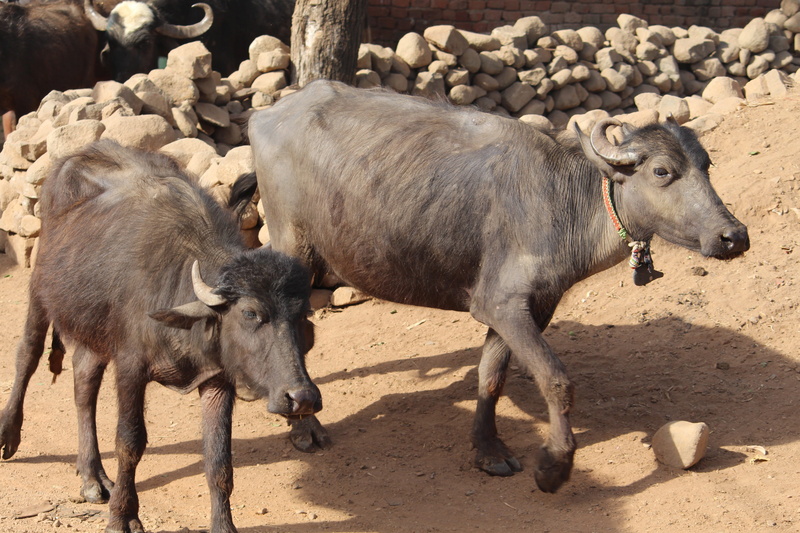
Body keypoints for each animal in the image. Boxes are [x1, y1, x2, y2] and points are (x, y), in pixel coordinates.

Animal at [0, 140, 321, 533]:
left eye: (302, 315)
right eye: (250, 313)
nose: (302, 398)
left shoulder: (217, 381)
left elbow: (219, 459)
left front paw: (223, 524)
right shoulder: (130, 366)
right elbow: (130, 442)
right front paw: (122, 515)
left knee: (83, 380)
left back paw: (92, 476)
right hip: (40, 292)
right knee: (27, 355)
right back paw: (9, 436)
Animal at [240, 80, 750, 494]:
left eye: (707, 165)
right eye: (662, 171)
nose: (733, 236)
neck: (560, 199)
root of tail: (270, 112)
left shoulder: (526, 307)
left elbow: (491, 377)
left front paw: (488, 450)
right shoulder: (502, 305)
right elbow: (556, 379)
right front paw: (553, 467)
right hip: (293, 247)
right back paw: (303, 426)